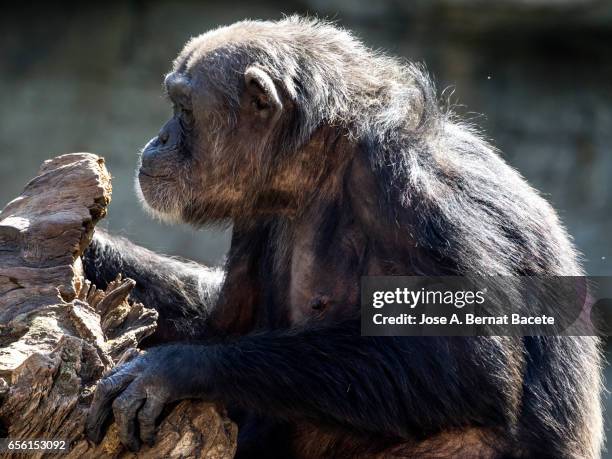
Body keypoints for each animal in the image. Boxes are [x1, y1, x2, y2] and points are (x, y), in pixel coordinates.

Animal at [83, 16, 604, 459]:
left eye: (184, 108)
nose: (160, 138)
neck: (321, 160)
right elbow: (221, 322)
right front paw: (82, 244)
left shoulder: (414, 194)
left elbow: (472, 364)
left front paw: (170, 370)